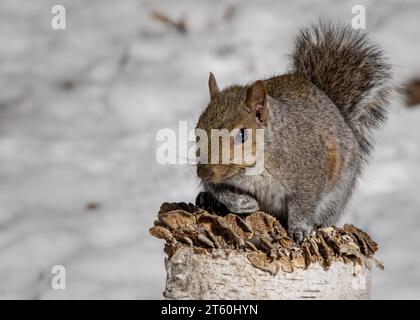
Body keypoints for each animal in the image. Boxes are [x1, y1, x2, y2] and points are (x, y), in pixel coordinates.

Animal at [195, 21, 392, 242]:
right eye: (197, 130)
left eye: (242, 134)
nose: (202, 172)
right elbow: (217, 188)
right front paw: (241, 202)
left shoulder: (309, 174)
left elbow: (303, 205)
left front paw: (300, 229)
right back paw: (206, 199)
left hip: (338, 191)